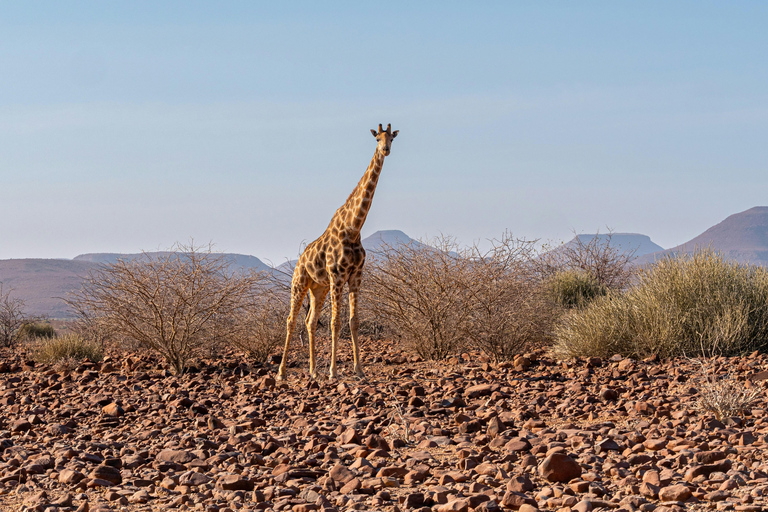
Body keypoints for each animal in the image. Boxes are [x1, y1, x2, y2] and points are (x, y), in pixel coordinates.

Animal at [278, 124, 400, 380]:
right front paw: (334, 371)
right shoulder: (337, 277)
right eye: (377, 138)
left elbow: (353, 321)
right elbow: (335, 322)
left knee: (310, 321)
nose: (385, 150)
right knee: (291, 320)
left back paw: (313, 371)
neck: (353, 228)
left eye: (392, 138)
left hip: (318, 288)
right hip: (300, 283)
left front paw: (359, 370)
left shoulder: (355, 276)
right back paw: (282, 373)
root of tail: (299, 261)